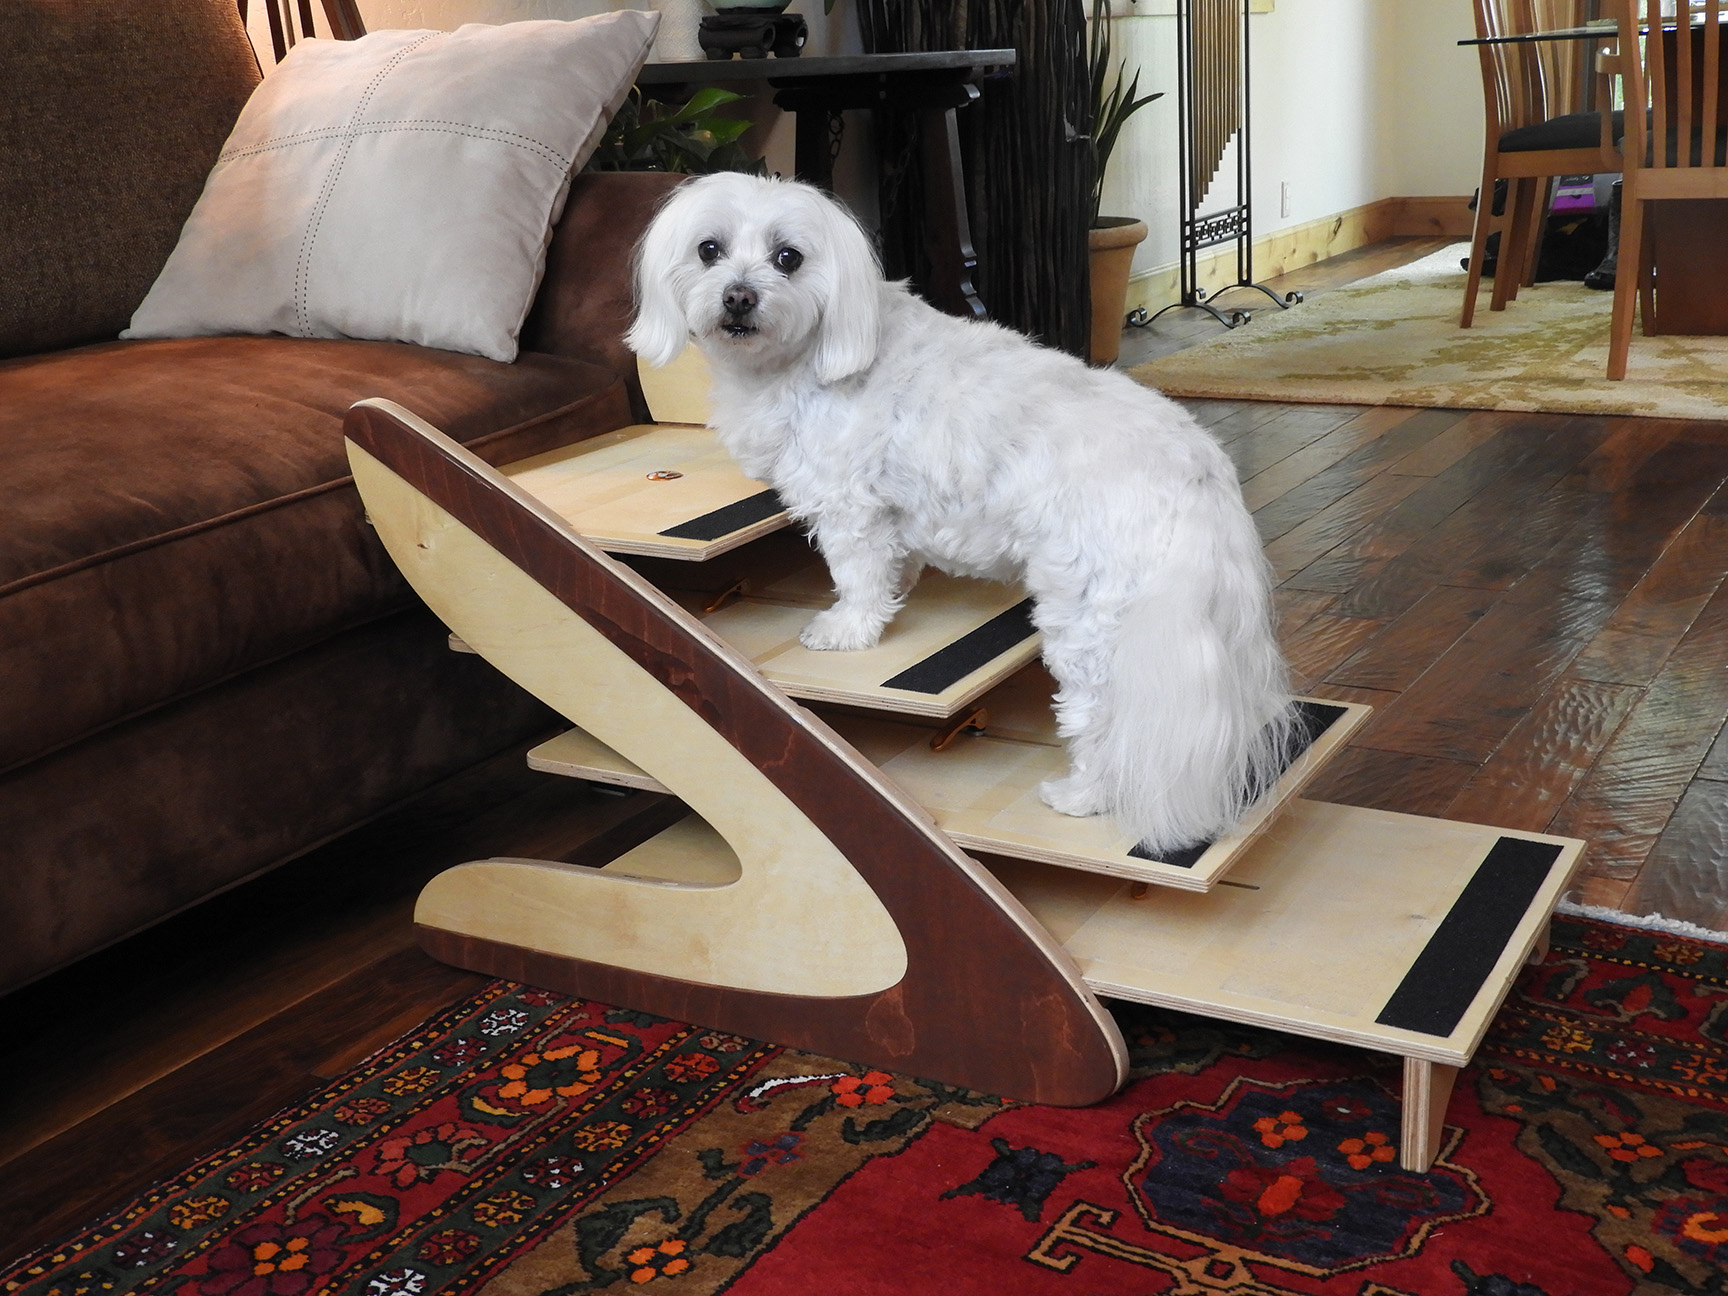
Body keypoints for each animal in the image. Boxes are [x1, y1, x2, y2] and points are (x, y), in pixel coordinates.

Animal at [627, 172, 1293, 855]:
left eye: (789, 257)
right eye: (708, 249)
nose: (738, 297)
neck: (806, 357)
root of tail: (1196, 470)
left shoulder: (849, 506)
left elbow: (858, 579)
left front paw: (847, 629)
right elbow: (895, 563)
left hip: (1093, 617)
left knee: (1106, 717)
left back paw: (1083, 796)